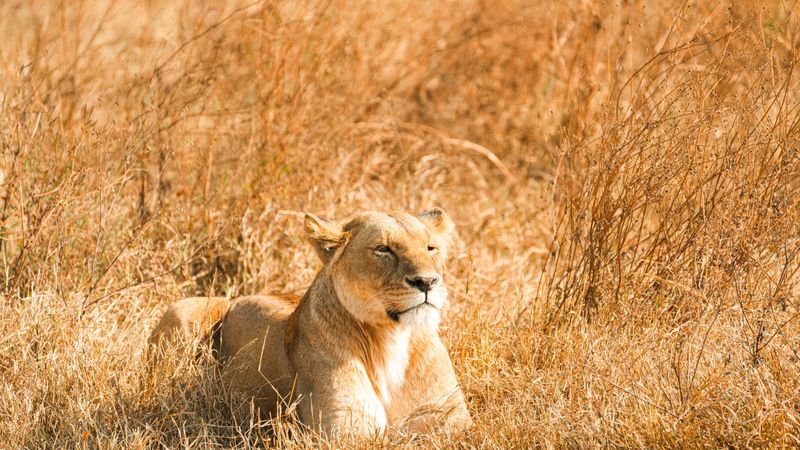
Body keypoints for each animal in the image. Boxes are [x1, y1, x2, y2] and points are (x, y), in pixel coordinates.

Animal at [149, 208, 472, 436]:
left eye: (430, 248)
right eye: (383, 249)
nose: (427, 281)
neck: (392, 337)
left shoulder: (450, 417)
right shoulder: (345, 425)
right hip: (183, 308)